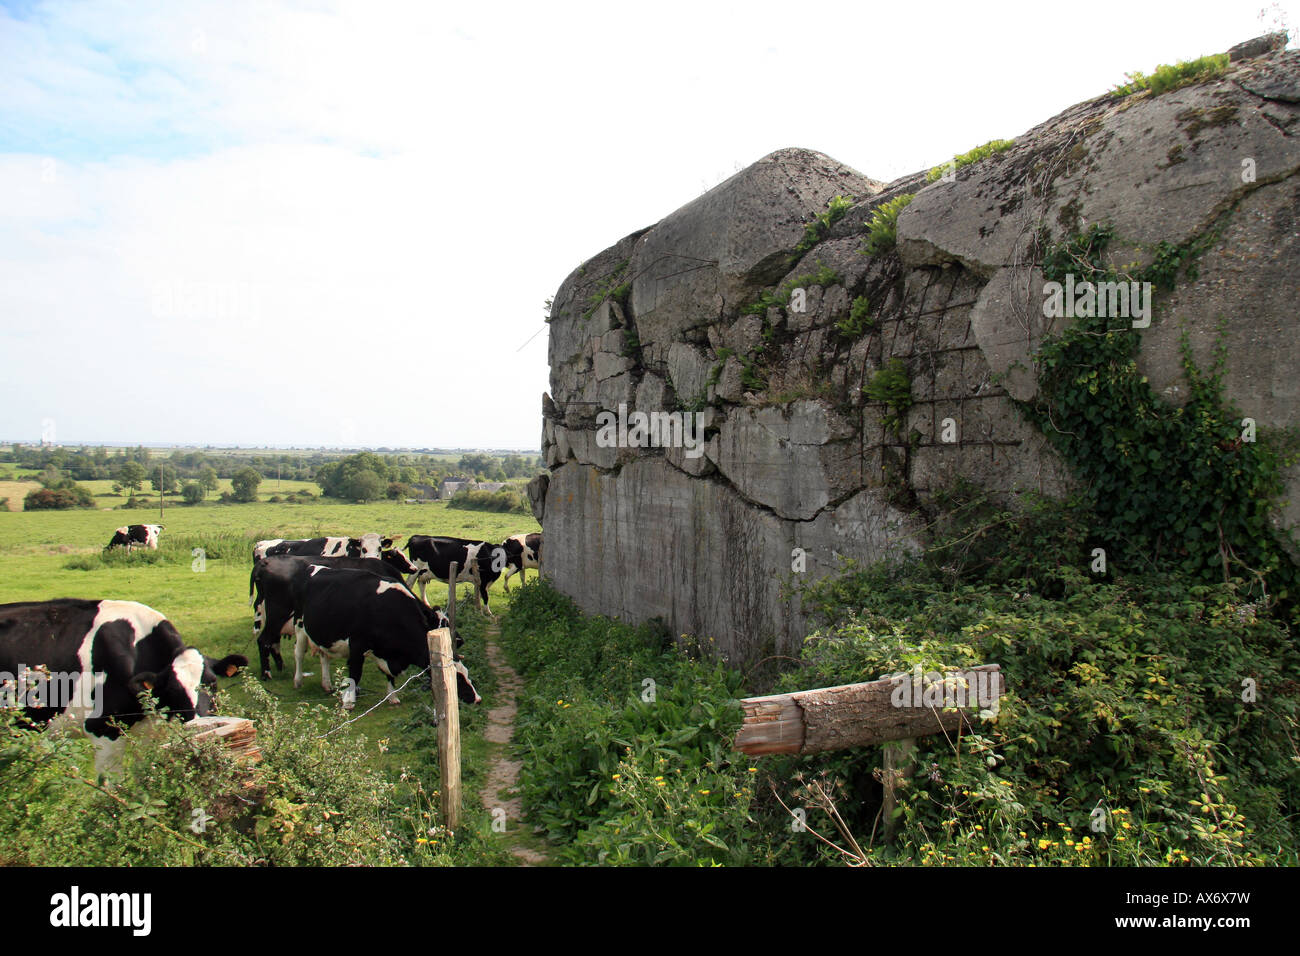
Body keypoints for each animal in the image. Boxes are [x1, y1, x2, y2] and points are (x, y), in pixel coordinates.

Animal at [248, 554, 457, 681]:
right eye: (440, 624)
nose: (459, 642)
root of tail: (265, 562)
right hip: (278, 613)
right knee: (263, 640)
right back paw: (266, 673)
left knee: (272, 641)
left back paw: (280, 666)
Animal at [292, 567, 480, 712]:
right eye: (456, 678)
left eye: (466, 673)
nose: (477, 699)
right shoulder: (357, 645)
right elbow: (355, 673)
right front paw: (349, 703)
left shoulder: (387, 652)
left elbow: (389, 675)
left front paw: (392, 696)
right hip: (299, 626)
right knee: (299, 654)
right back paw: (298, 680)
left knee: (324, 656)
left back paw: (327, 684)